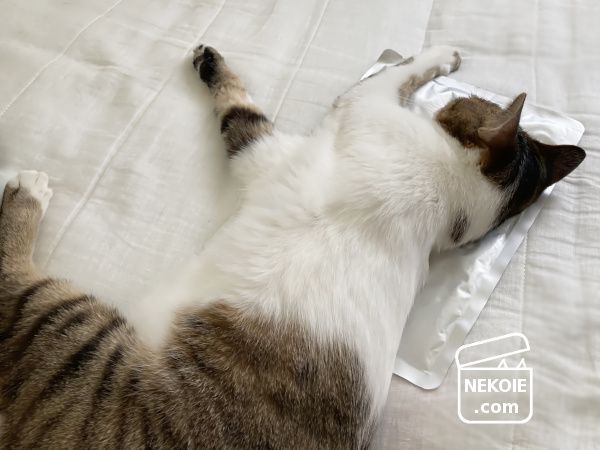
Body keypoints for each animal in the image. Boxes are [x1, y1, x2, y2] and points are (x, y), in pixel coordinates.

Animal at [0, 44, 585, 449]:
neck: (448, 194)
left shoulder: (315, 125)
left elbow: (245, 106)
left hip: (75, 344)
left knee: (18, 288)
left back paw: (26, 189)